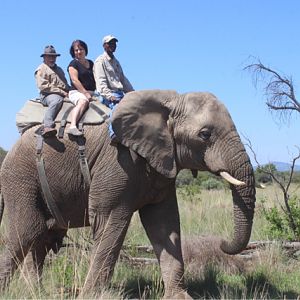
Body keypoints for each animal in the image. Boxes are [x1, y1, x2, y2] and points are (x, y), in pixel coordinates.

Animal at [0, 89, 255, 298]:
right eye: (205, 134)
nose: (222, 243)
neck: (169, 101)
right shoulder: (118, 163)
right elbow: (109, 223)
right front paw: (93, 296)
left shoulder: (161, 163)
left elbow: (164, 224)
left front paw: (180, 297)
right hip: (21, 177)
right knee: (26, 232)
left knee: (41, 238)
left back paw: (36, 293)